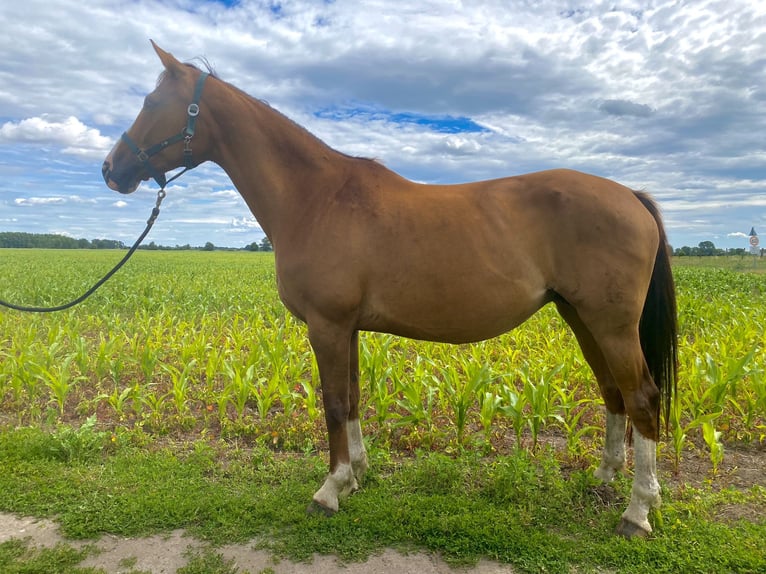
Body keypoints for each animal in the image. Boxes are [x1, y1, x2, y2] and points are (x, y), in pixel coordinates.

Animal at [103, 41, 680, 540]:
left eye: (152, 102)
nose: (111, 169)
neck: (317, 198)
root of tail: (629, 195)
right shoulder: (347, 328)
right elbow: (354, 398)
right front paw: (356, 475)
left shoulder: (327, 325)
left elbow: (334, 403)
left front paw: (329, 490)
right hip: (581, 317)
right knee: (613, 393)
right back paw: (603, 481)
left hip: (610, 324)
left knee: (642, 398)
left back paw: (637, 512)